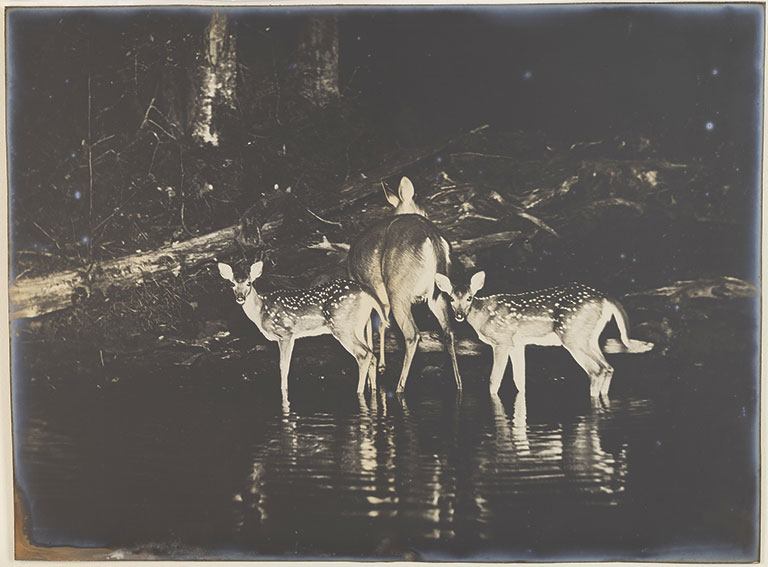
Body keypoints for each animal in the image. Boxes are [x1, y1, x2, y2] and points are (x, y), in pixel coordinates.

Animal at [218, 260, 388, 398]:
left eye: (249, 283)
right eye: (232, 284)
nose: (240, 298)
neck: (261, 311)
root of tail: (366, 291)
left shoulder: (285, 333)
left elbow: (283, 365)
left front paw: (284, 392)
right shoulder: (291, 336)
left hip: (341, 326)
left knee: (364, 354)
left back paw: (358, 392)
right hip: (359, 326)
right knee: (372, 354)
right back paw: (372, 390)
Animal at [348, 175, 462, 392]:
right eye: (424, 209)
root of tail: (432, 237)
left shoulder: (367, 289)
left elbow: (370, 328)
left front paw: (372, 376)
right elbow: (381, 324)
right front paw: (380, 367)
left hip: (399, 290)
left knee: (412, 334)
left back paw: (399, 387)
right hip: (438, 294)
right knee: (449, 331)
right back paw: (459, 384)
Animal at [432, 270, 640, 400]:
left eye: (469, 297)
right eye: (451, 298)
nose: (459, 315)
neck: (483, 316)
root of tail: (605, 298)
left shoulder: (502, 341)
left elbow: (494, 380)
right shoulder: (517, 344)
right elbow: (519, 381)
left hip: (572, 336)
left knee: (596, 370)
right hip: (590, 337)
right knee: (608, 367)